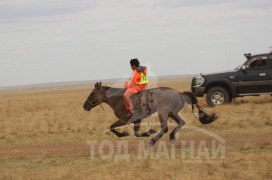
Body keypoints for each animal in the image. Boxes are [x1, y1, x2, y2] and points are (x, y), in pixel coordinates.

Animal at [83, 82, 217, 147]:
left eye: (92, 94)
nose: (84, 106)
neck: (118, 99)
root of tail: (179, 94)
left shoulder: (125, 119)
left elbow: (111, 127)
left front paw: (124, 134)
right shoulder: (136, 120)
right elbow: (137, 133)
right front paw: (148, 132)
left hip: (163, 113)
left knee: (165, 128)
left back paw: (153, 141)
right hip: (171, 113)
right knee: (181, 122)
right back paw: (171, 137)